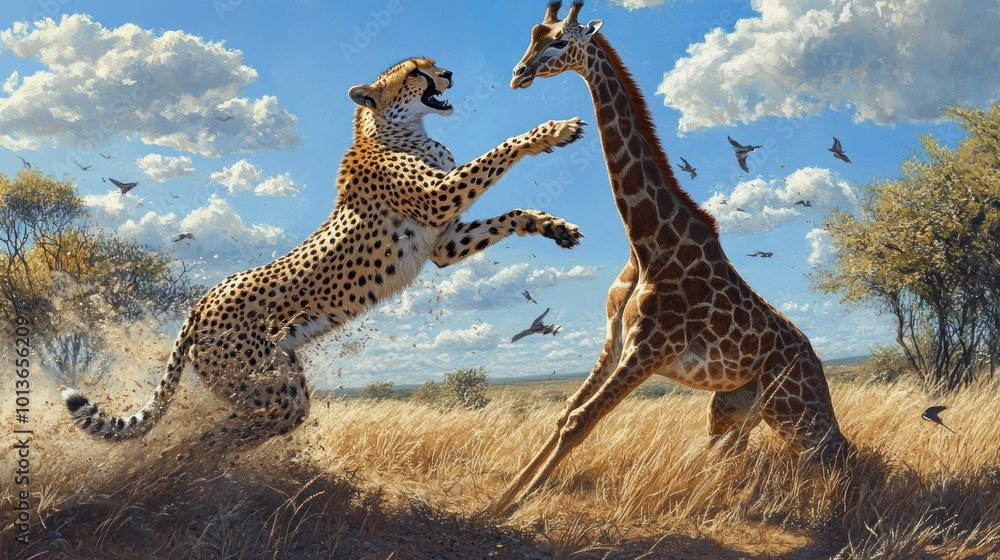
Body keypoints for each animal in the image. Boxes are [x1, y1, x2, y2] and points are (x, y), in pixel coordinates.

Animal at [63, 57, 587, 447]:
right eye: (416, 72)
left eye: (433, 64)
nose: (450, 73)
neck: (395, 130)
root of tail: (200, 303)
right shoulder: (440, 198)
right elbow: (499, 151)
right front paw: (551, 131)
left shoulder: (442, 242)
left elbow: (509, 214)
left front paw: (553, 226)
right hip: (264, 383)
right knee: (217, 435)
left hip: (279, 380)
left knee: (255, 423)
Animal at [488, 1, 851, 515]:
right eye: (532, 34)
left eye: (559, 41)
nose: (519, 75)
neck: (645, 243)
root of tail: (817, 361)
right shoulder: (616, 340)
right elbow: (564, 414)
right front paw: (495, 504)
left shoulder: (651, 348)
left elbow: (580, 422)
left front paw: (507, 510)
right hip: (732, 407)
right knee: (733, 453)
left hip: (793, 407)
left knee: (833, 451)